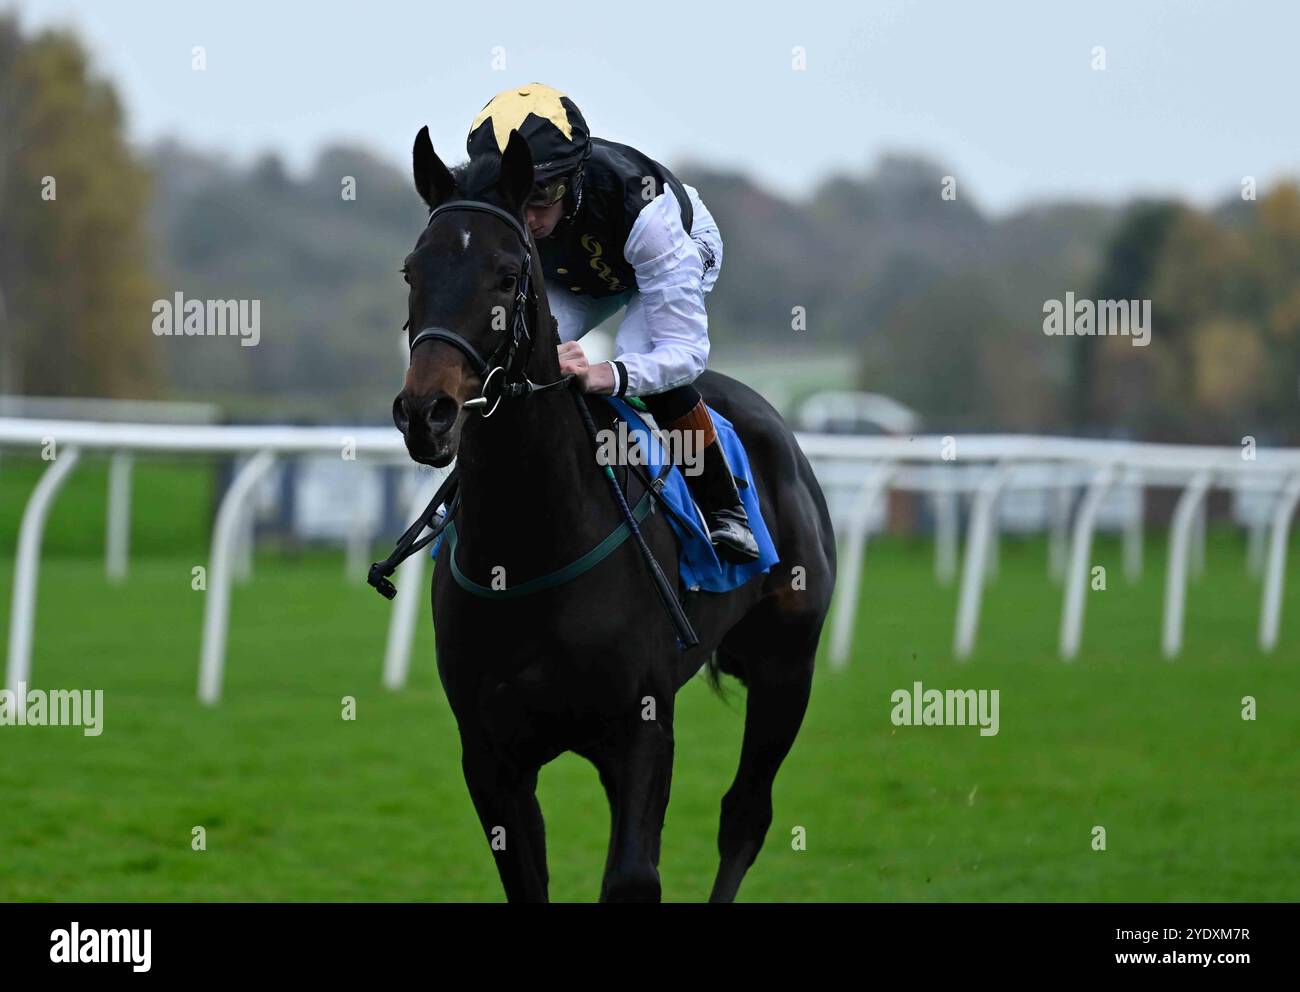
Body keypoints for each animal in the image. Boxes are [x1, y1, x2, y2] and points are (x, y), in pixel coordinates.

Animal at [390, 124, 837, 899]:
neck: (529, 545)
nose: (428, 414)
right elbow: (528, 879)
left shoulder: (643, 730)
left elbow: (632, 877)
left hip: (788, 666)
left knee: (745, 816)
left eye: (507, 275)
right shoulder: (490, 754)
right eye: (413, 271)